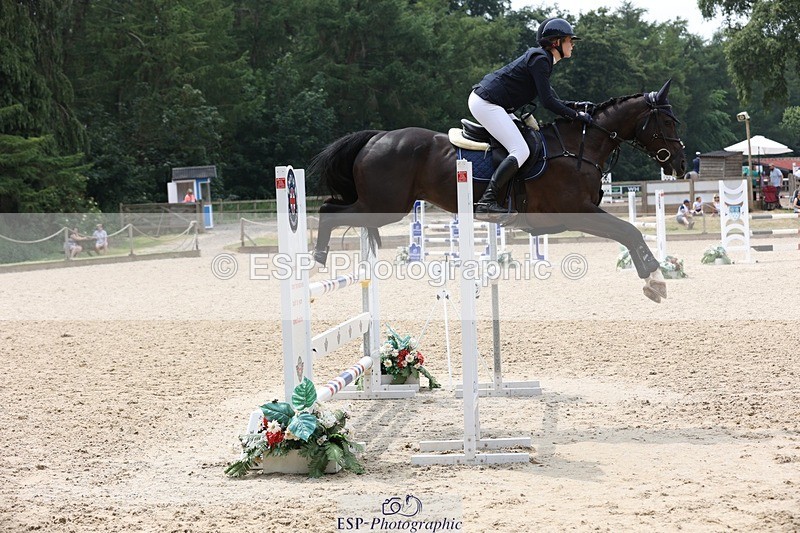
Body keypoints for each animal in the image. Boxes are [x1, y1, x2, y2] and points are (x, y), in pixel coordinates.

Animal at [309, 80, 686, 303]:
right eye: (668, 122)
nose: (681, 164)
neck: (580, 147)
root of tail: (376, 138)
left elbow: (628, 232)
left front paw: (653, 280)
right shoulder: (578, 212)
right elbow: (628, 230)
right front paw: (656, 279)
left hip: (380, 204)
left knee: (333, 209)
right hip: (385, 205)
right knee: (327, 211)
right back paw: (312, 266)